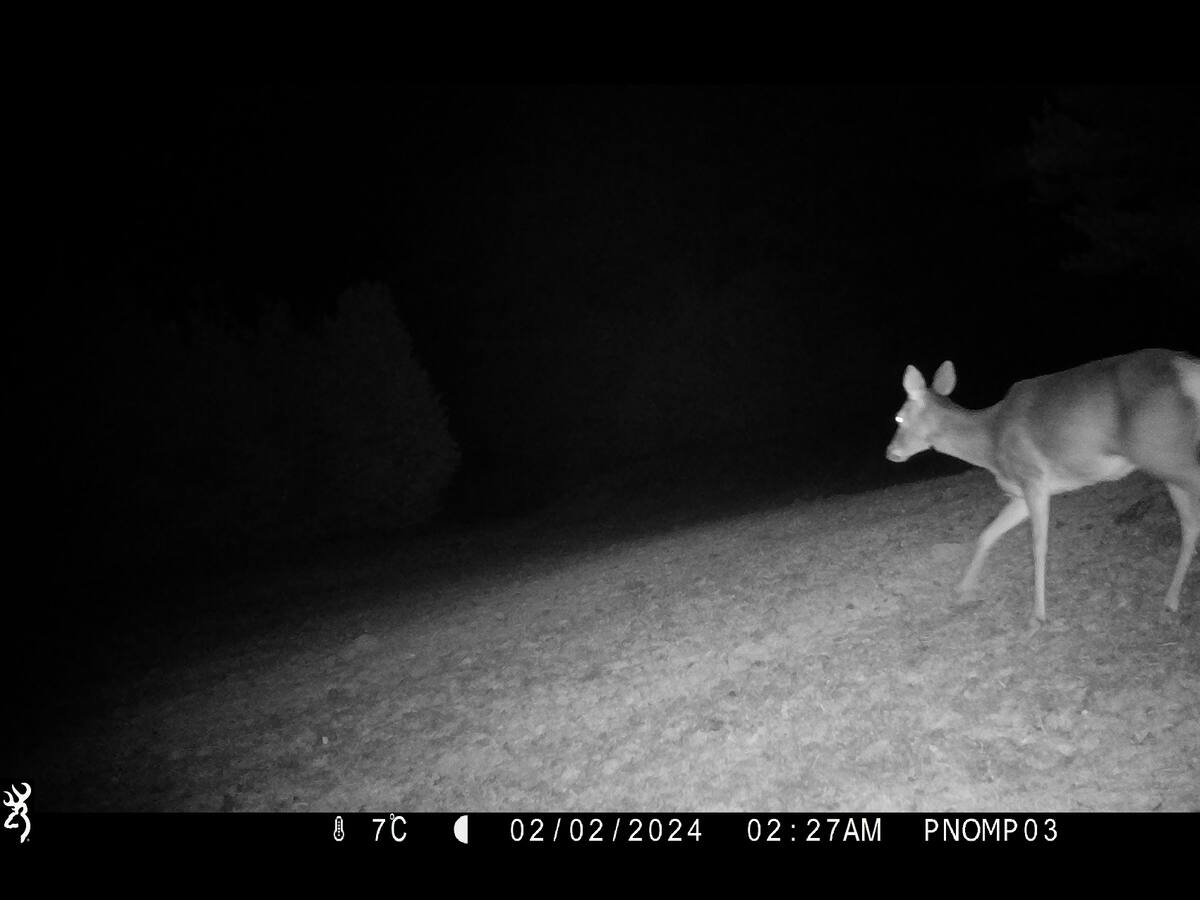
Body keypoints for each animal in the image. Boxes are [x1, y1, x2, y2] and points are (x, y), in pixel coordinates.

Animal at [886, 348, 1200, 623]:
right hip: (1168, 462)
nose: (891, 452)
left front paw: (1038, 613)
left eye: (898, 416)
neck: (990, 442)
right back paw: (1170, 600)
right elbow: (987, 534)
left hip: (1163, 451)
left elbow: (1038, 545)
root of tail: (1187, 368)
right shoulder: (1019, 493)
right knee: (1189, 525)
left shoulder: (1034, 477)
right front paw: (963, 589)